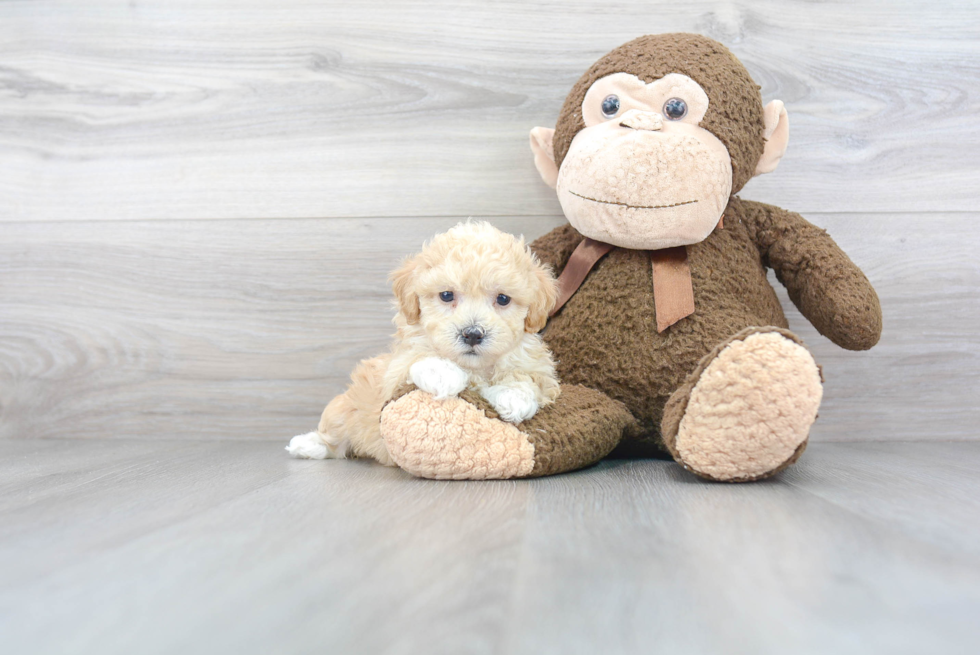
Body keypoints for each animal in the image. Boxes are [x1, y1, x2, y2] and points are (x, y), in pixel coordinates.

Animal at [286, 222, 560, 466]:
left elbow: (526, 378)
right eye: (446, 295)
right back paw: (307, 444)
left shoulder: (539, 372)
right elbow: (417, 359)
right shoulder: (392, 376)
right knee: (335, 433)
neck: (474, 368)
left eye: (503, 299)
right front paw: (443, 374)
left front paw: (514, 397)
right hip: (347, 408)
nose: (472, 334)